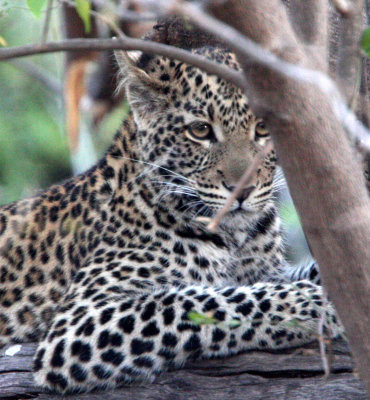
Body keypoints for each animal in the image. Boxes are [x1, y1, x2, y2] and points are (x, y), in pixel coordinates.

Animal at [0, 44, 342, 394]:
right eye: (200, 130)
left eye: (263, 127)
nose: (242, 191)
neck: (235, 236)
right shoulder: (79, 321)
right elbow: (198, 301)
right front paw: (313, 304)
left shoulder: (266, 272)